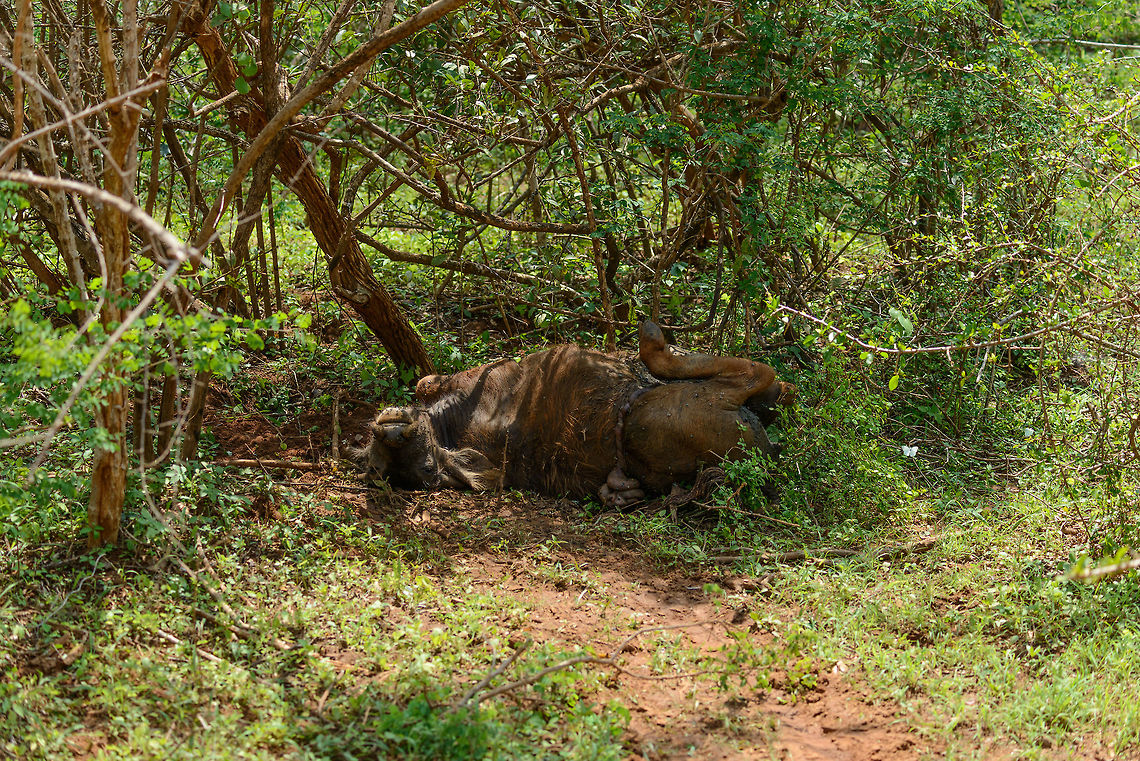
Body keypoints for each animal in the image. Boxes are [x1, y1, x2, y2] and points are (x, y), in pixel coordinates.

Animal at [358, 322, 795, 506]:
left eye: (376, 459)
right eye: (426, 469)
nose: (392, 433)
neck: (452, 426)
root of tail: (758, 459)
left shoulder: (440, 383)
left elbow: (423, 379)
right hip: (666, 409)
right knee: (755, 372)